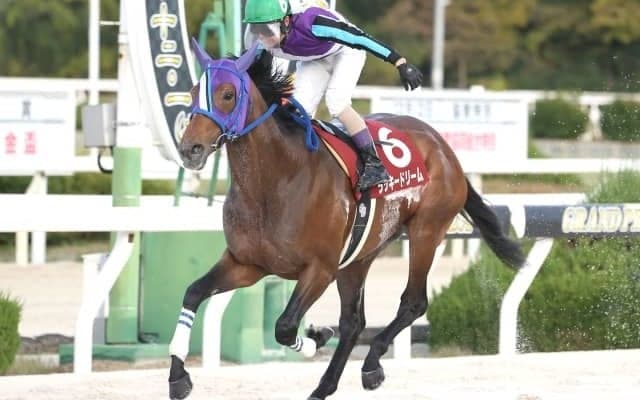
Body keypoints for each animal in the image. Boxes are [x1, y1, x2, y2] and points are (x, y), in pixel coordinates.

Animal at [167, 41, 525, 400]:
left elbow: (284, 327)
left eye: (227, 94)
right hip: (359, 256)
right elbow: (193, 293)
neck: (275, 182)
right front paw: (178, 377)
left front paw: (317, 336)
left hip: (426, 231)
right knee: (354, 322)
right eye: (194, 91)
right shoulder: (247, 263)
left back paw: (371, 364)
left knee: (413, 303)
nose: (190, 149)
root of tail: (443, 147)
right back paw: (325, 386)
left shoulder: (320, 269)